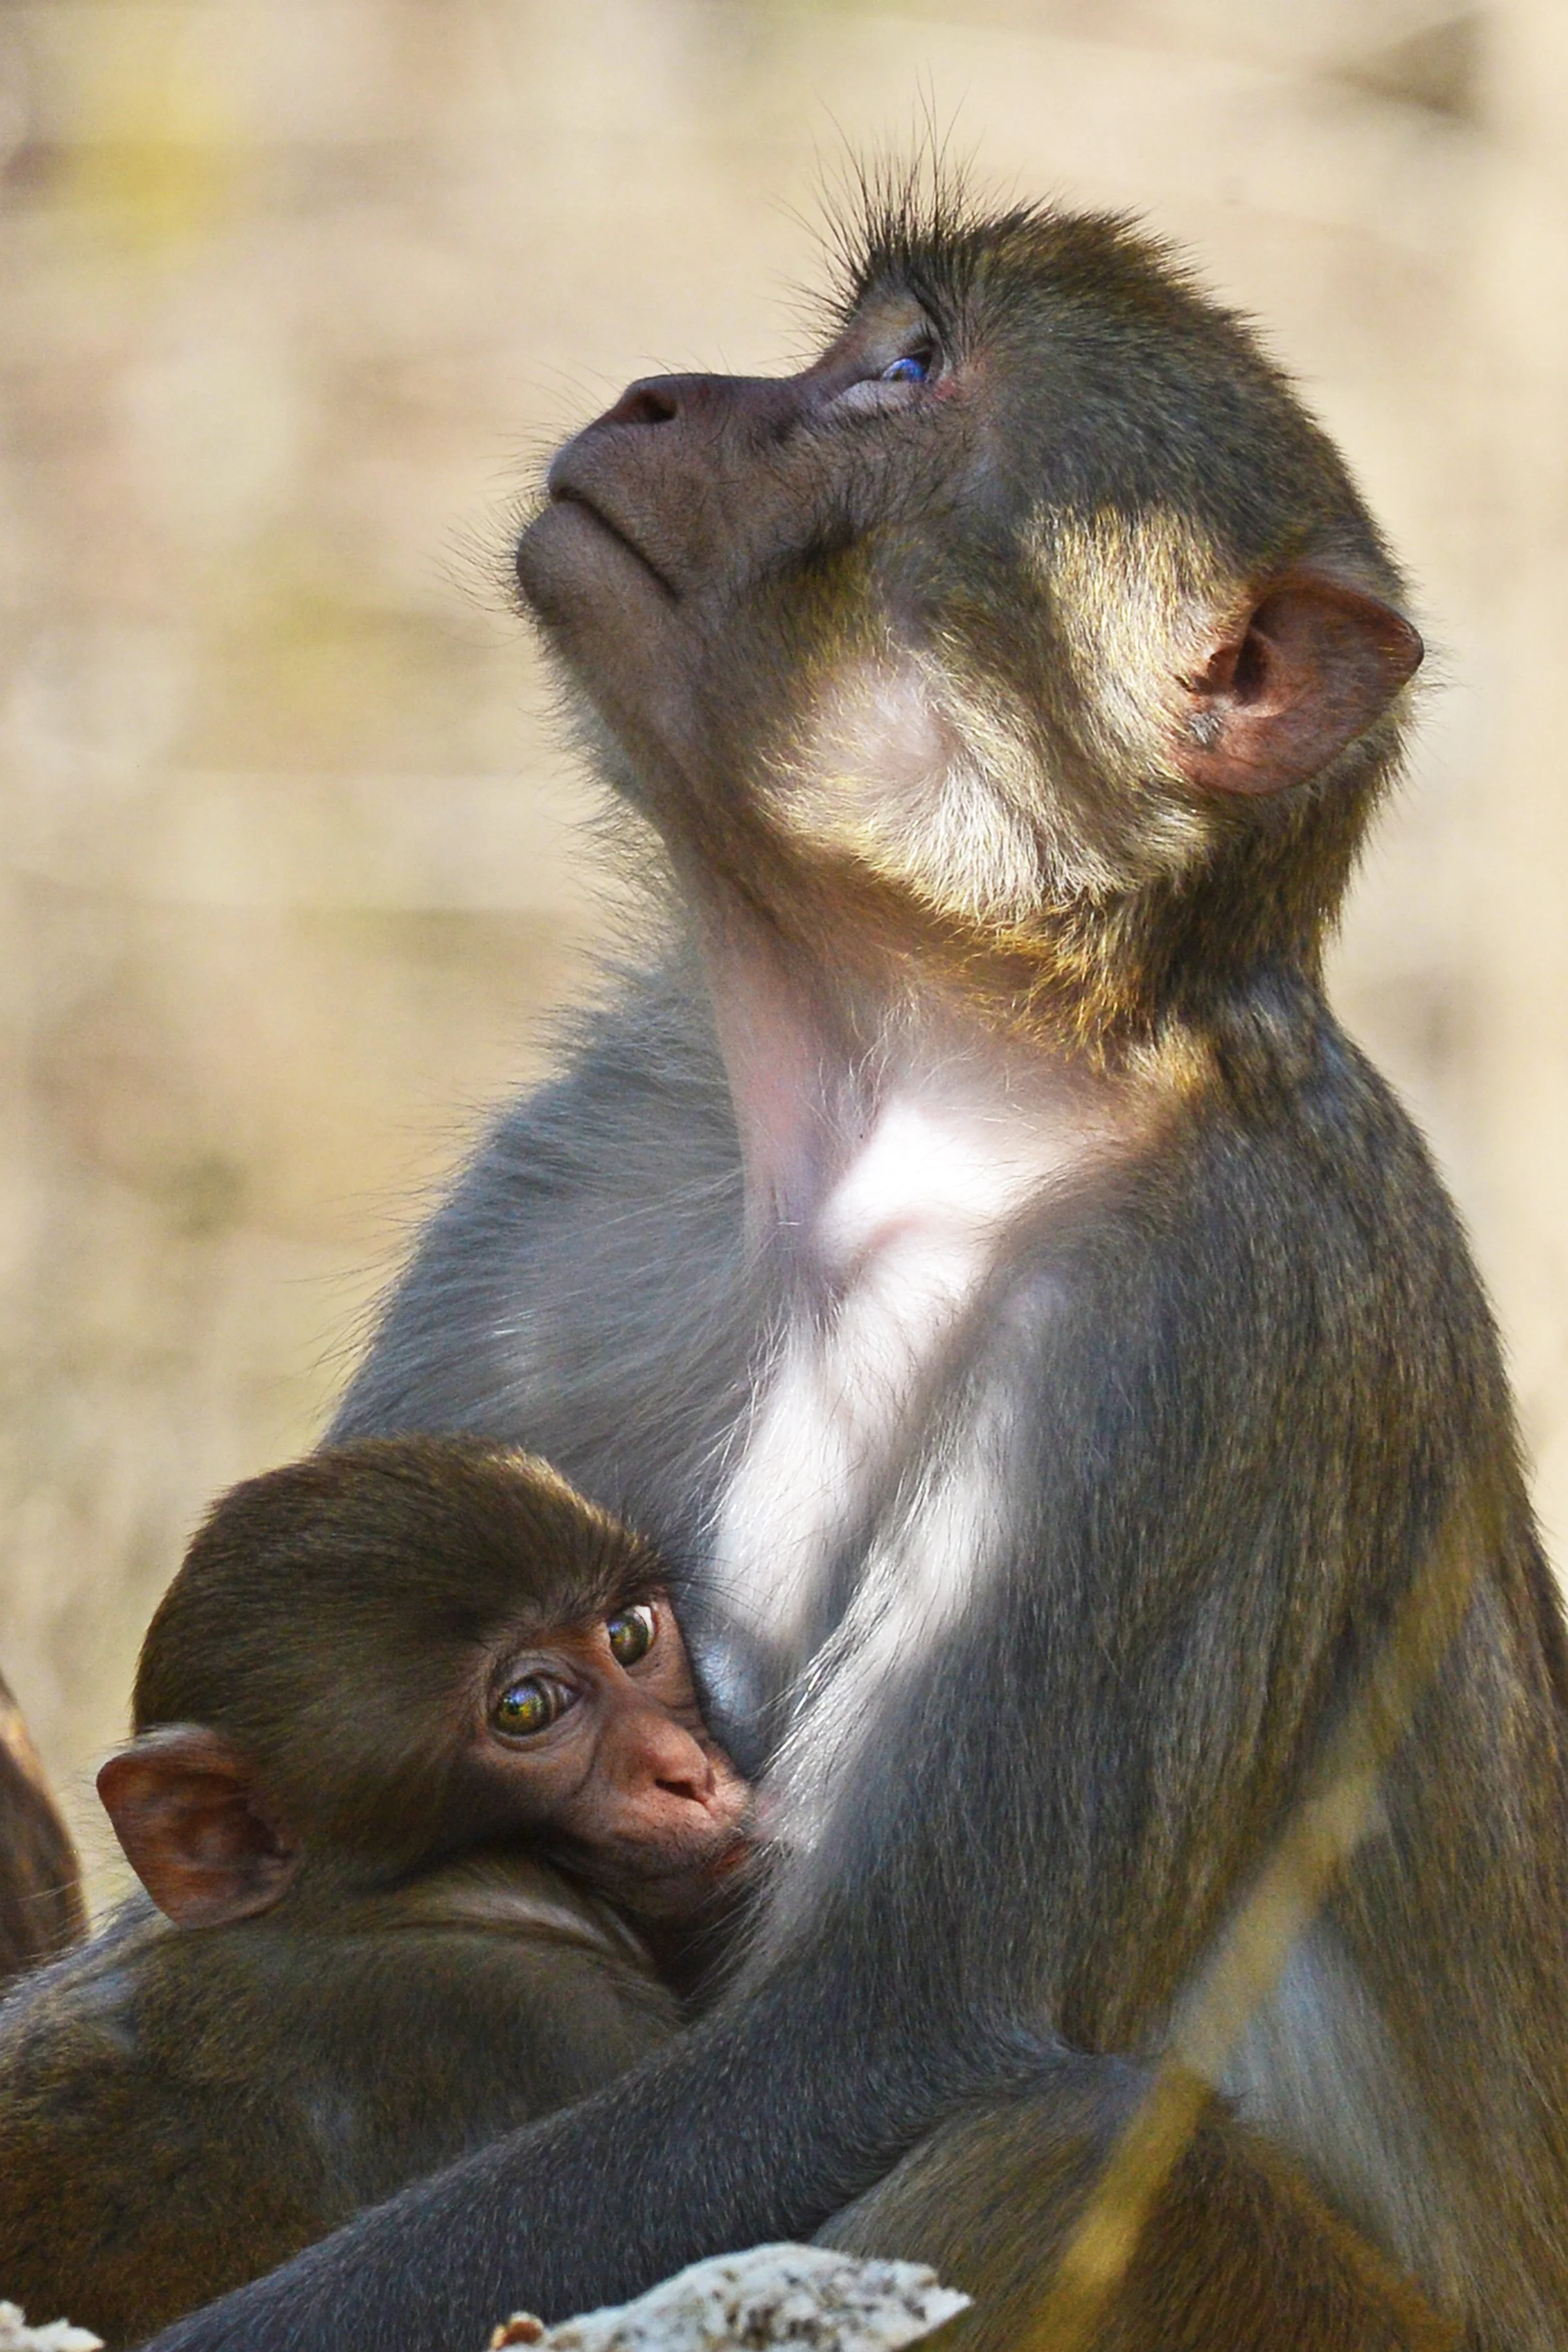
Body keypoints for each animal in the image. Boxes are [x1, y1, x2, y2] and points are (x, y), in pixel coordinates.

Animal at [139, 185, 1568, 2352]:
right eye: (852, 346)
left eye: (901, 375)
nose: (661, 390)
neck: (918, 1075)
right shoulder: (583, 1170)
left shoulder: (1188, 1323)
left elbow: (890, 2034)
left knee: (1056, 2149)